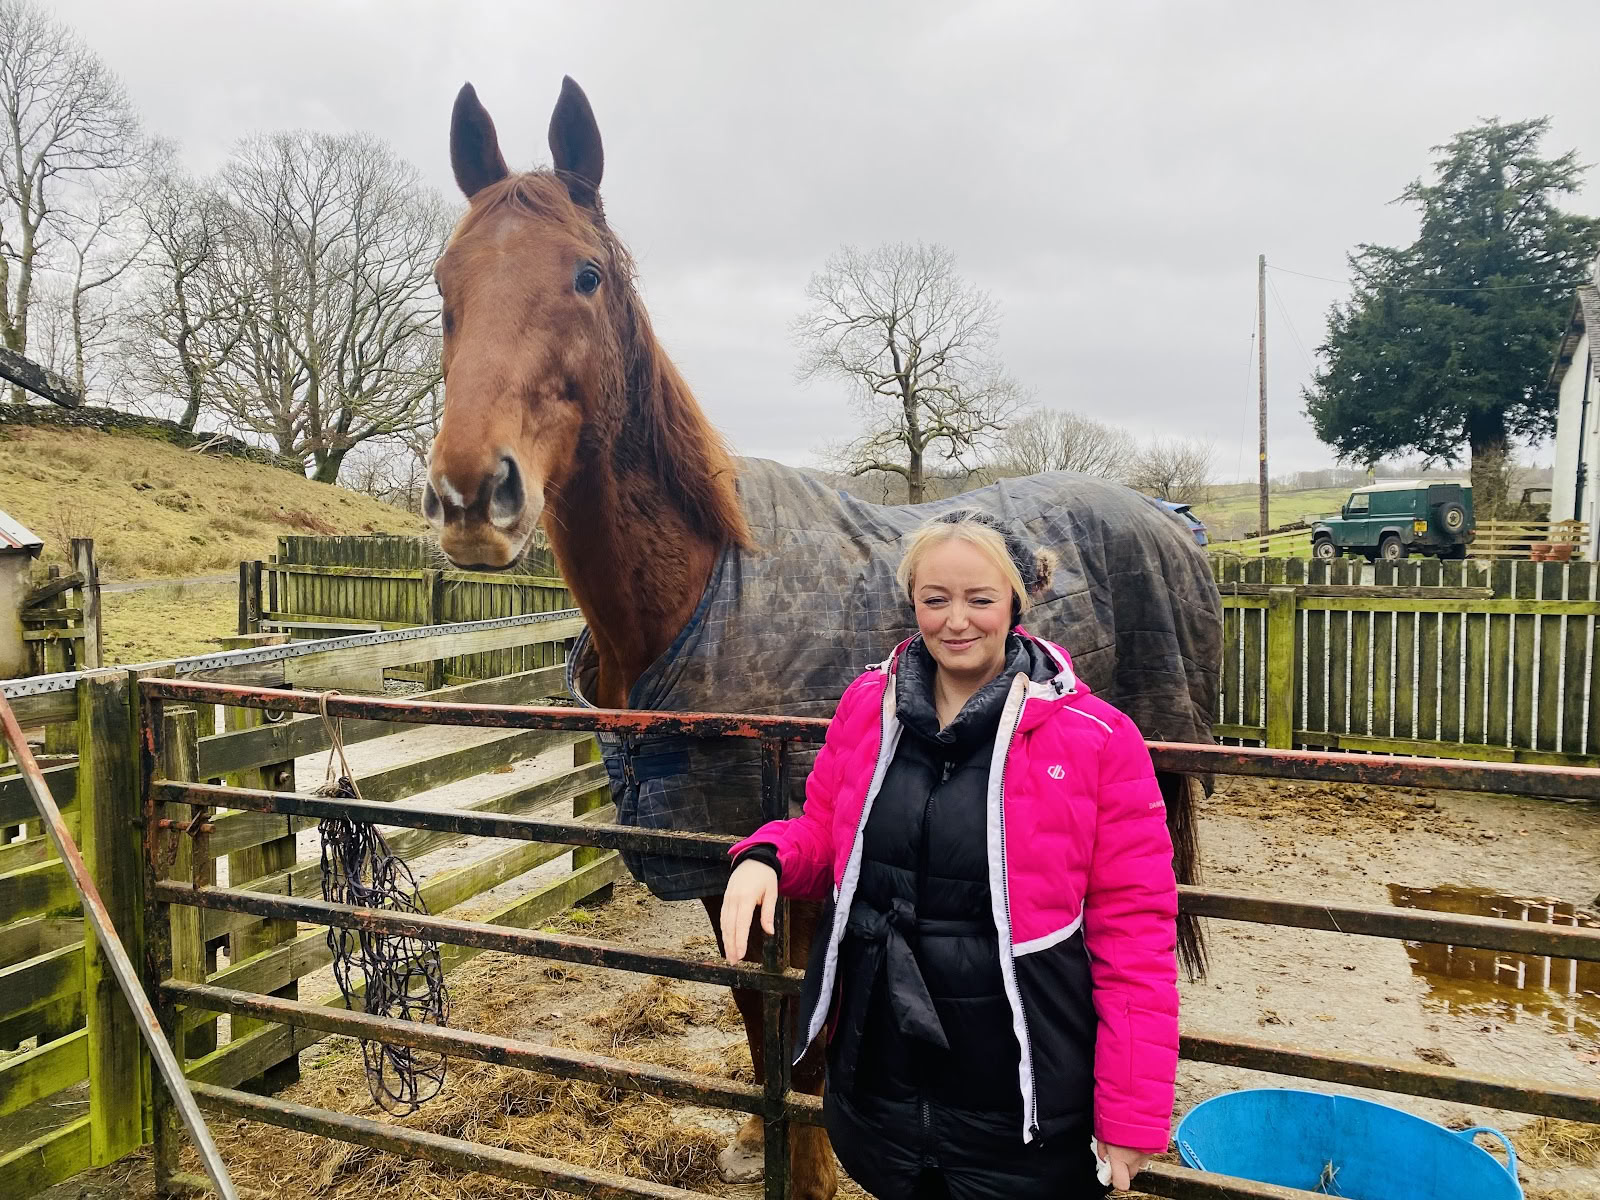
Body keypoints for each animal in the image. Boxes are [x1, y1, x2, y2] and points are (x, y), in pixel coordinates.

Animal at [424, 77, 1220, 1200]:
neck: (699, 600)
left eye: (585, 275)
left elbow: (800, 1087)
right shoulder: (728, 880)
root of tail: (1164, 516)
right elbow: (770, 1056)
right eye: (445, 283)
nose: (468, 495)